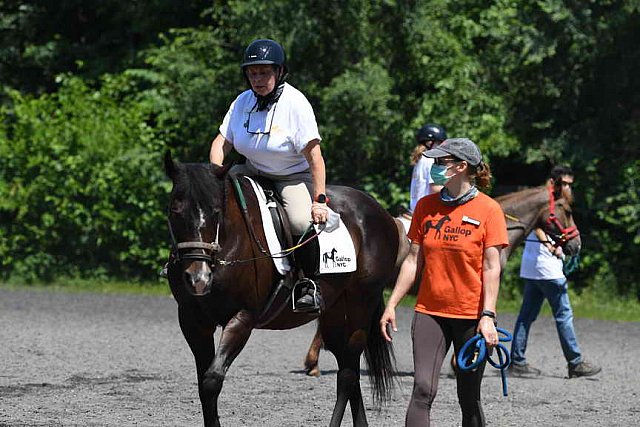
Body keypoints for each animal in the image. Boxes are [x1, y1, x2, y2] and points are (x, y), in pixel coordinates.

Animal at [165, 152, 404, 426]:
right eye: (175, 210)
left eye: (216, 211)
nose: (198, 278)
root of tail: (380, 212)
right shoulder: (193, 322)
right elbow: (203, 384)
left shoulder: (242, 318)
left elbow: (211, 381)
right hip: (334, 312)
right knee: (348, 365)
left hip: (360, 304)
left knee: (347, 375)